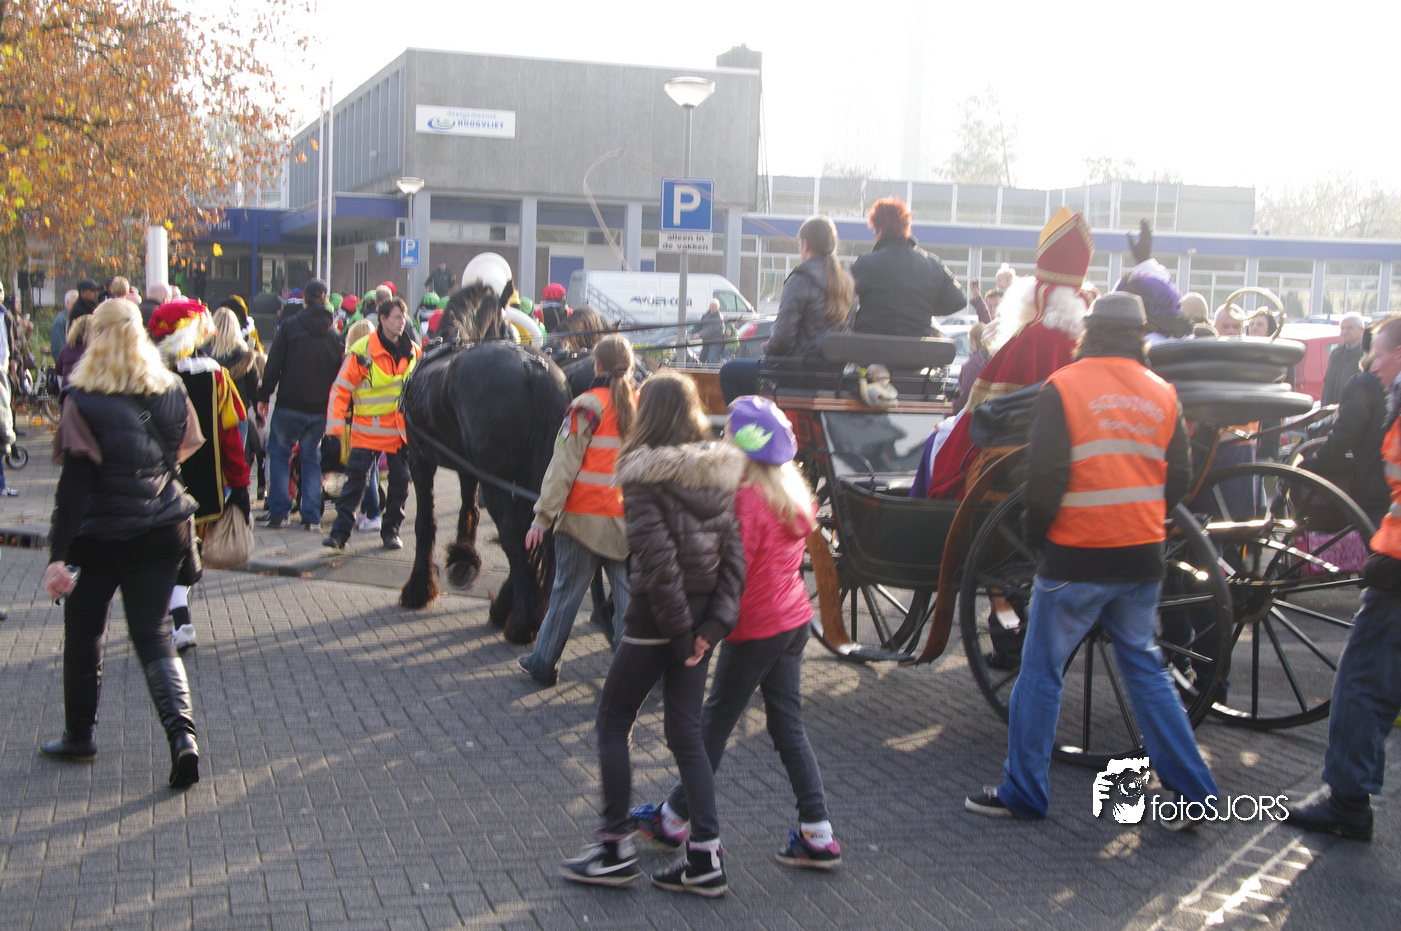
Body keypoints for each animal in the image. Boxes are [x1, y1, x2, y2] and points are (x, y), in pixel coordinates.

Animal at [399, 283, 571, 644]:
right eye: (507, 325)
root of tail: (532, 367)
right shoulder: (468, 468)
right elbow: (468, 512)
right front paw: (463, 560)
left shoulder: (420, 460)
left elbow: (425, 523)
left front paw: (418, 589)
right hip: (538, 474)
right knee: (533, 531)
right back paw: (519, 607)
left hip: (496, 480)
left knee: (512, 532)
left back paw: (522, 620)